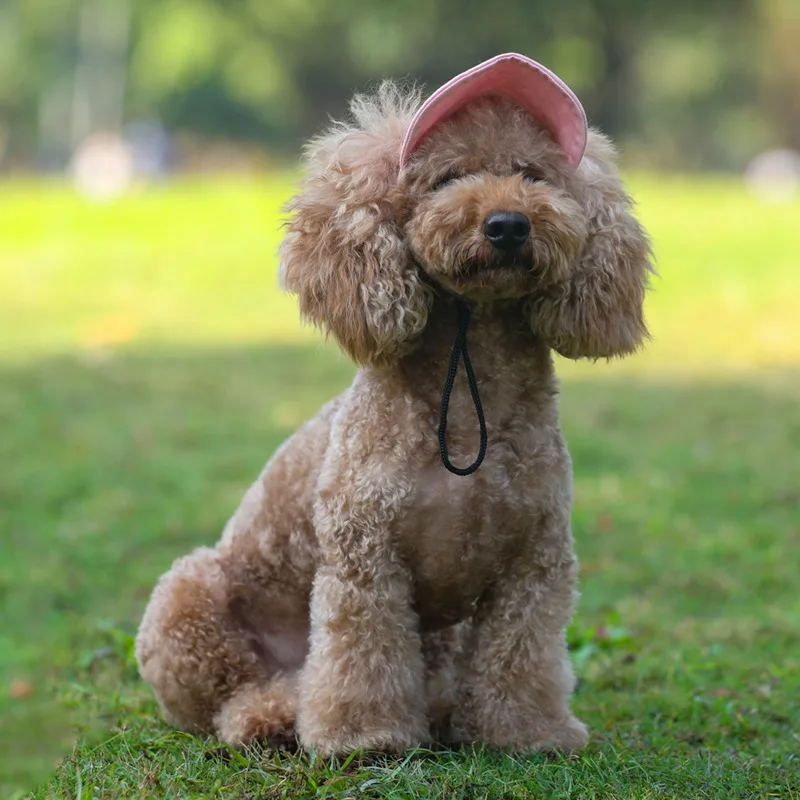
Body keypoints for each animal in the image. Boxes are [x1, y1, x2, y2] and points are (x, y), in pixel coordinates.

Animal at [136, 53, 648, 752]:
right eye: (447, 178)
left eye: (531, 175)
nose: (508, 224)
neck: (470, 381)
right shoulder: (365, 558)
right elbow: (363, 653)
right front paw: (365, 736)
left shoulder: (536, 561)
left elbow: (521, 654)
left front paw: (528, 733)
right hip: (187, 601)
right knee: (230, 697)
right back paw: (273, 713)